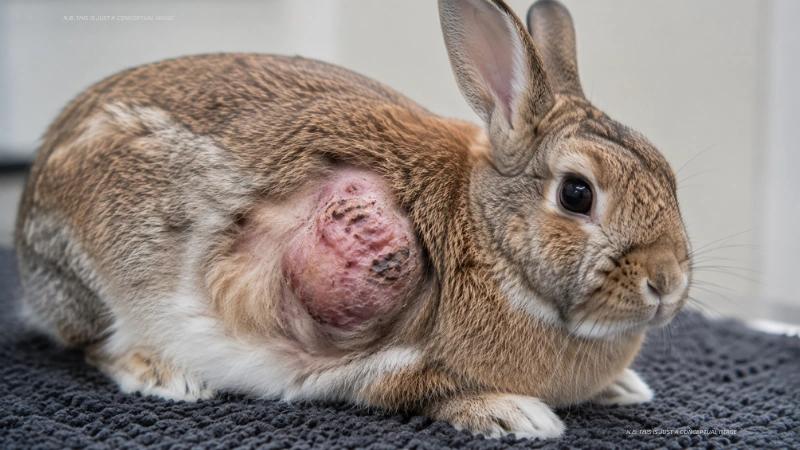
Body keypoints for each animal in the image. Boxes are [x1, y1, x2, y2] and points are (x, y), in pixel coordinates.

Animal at [14, 0, 691, 440]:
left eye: (668, 173)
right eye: (577, 194)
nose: (667, 282)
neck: (489, 239)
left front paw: (624, 388)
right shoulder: (376, 363)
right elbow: (430, 390)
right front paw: (517, 415)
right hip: (106, 274)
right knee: (94, 345)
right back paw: (162, 375)